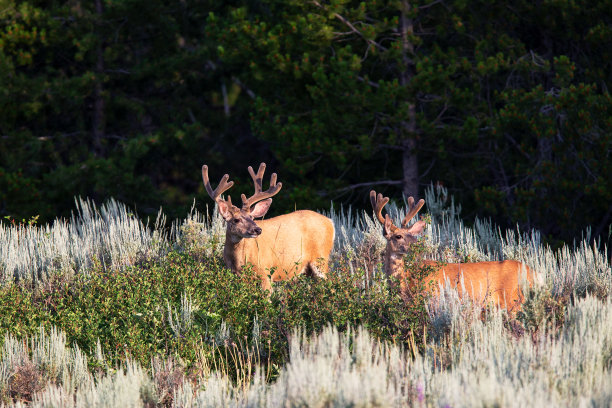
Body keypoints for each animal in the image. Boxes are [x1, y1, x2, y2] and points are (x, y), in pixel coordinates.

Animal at [202, 163, 334, 290]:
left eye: (252, 217)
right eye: (236, 220)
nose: (257, 229)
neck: (239, 262)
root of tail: (330, 221)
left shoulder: (265, 273)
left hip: (321, 258)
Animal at [370, 190, 532, 310]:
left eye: (412, 236)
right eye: (398, 236)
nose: (418, 247)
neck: (406, 284)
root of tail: (533, 272)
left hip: (513, 301)